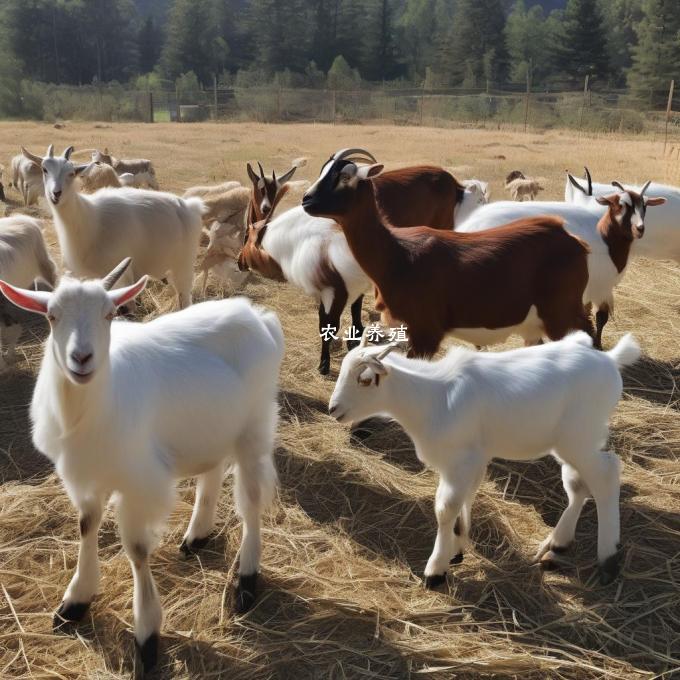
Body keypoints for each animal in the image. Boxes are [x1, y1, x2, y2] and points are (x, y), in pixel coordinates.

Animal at [0, 260, 284, 676]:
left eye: (109, 313)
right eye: (52, 315)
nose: (81, 358)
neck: (88, 407)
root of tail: (259, 316)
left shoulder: (138, 483)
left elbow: (136, 551)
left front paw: (147, 636)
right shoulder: (85, 475)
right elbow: (86, 526)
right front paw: (75, 601)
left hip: (255, 423)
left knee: (250, 501)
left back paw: (246, 582)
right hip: (211, 424)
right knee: (212, 470)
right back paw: (197, 534)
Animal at [24, 147, 205, 312]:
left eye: (71, 173)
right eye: (45, 169)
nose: (56, 193)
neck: (89, 219)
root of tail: (189, 206)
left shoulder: (123, 274)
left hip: (183, 264)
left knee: (185, 297)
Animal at [300, 149, 592, 356]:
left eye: (344, 177)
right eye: (323, 171)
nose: (306, 200)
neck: (397, 255)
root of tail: (574, 240)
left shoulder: (425, 334)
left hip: (561, 316)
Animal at [330, 330, 636, 588]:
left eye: (364, 380)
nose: (334, 409)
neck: (432, 398)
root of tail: (610, 359)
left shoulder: (460, 460)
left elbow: (445, 508)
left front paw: (435, 570)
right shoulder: (469, 460)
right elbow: (464, 498)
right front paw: (457, 549)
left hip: (580, 437)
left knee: (606, 475)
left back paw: (608, 560)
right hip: (574, 442)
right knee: (578, 483)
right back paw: (557, 543)